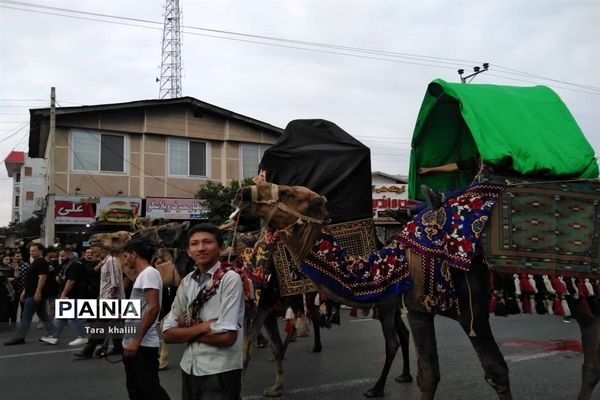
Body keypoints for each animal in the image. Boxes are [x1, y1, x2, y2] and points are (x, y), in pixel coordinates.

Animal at [234, 182, 600, 400]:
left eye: (289, 193)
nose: (244, 194)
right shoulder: (419, 308)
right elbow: (429, 375)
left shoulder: (472, 311)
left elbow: (497, 371)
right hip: (585, 302)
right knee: (590, 364)